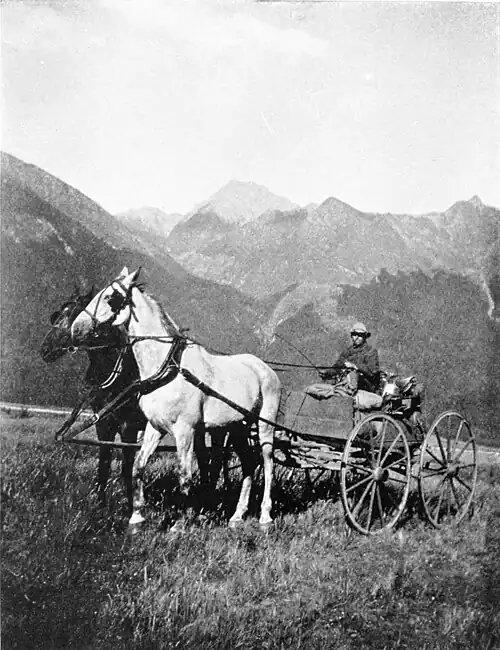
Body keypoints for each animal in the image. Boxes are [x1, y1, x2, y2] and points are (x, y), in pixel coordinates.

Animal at [40, 284, 147, 512]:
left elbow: (126, 468)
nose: (45, 349)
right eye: (58, 316)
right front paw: (99, 506)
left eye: (74, 317)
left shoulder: (129, 427)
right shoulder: (103, 424)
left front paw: (130, 509)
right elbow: (103, 464)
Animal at [70, 267, 282, 533]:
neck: (167, 369)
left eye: (111, 297)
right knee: (248, 464)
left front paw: (181, 523)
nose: (75, 329)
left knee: (267, 462)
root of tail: (265, 368)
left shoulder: (185, 430)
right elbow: (138, 466)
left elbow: (185, 475)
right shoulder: (155, 427)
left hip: (264, 425)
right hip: (237, 427)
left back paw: (265, 516)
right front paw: (136, 518)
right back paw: (237, 515)